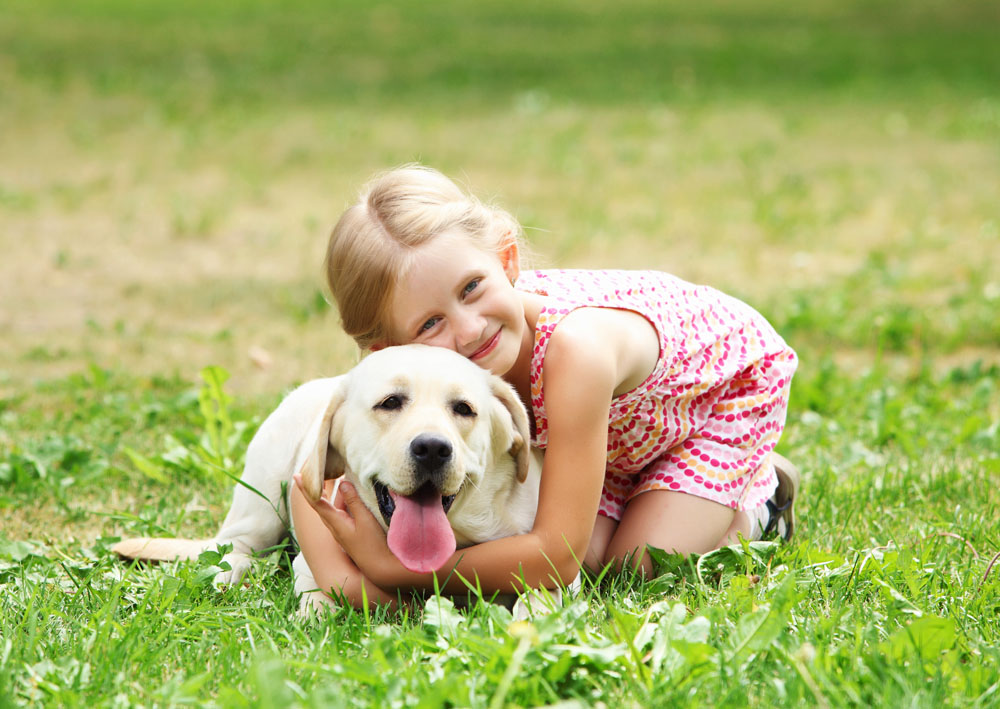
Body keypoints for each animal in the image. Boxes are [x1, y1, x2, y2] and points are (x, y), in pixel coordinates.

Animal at [112, 342, 572, 612]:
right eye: (390, 402)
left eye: (464, 409)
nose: (432, 448)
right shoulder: (312, 562)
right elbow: (319, 595)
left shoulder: (545, 566)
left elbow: (540, 600)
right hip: (261, 498)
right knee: (232, 547)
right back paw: (228, 573)